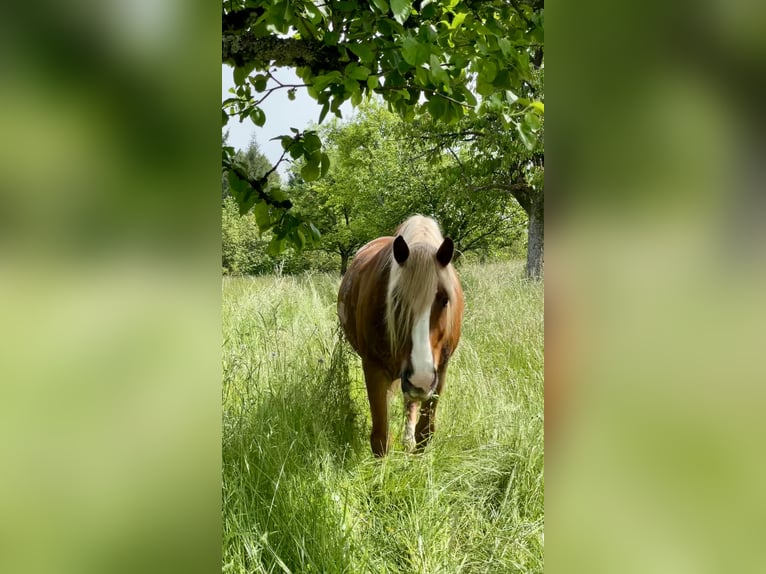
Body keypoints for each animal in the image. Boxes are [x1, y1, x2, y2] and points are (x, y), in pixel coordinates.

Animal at [340, 216, 464, 460]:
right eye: (396, 299)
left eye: (445, 299)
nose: (421, 378)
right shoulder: (374, 368)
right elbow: (380, 436)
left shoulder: (440, 371)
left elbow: (425, 430)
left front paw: (417, 463)